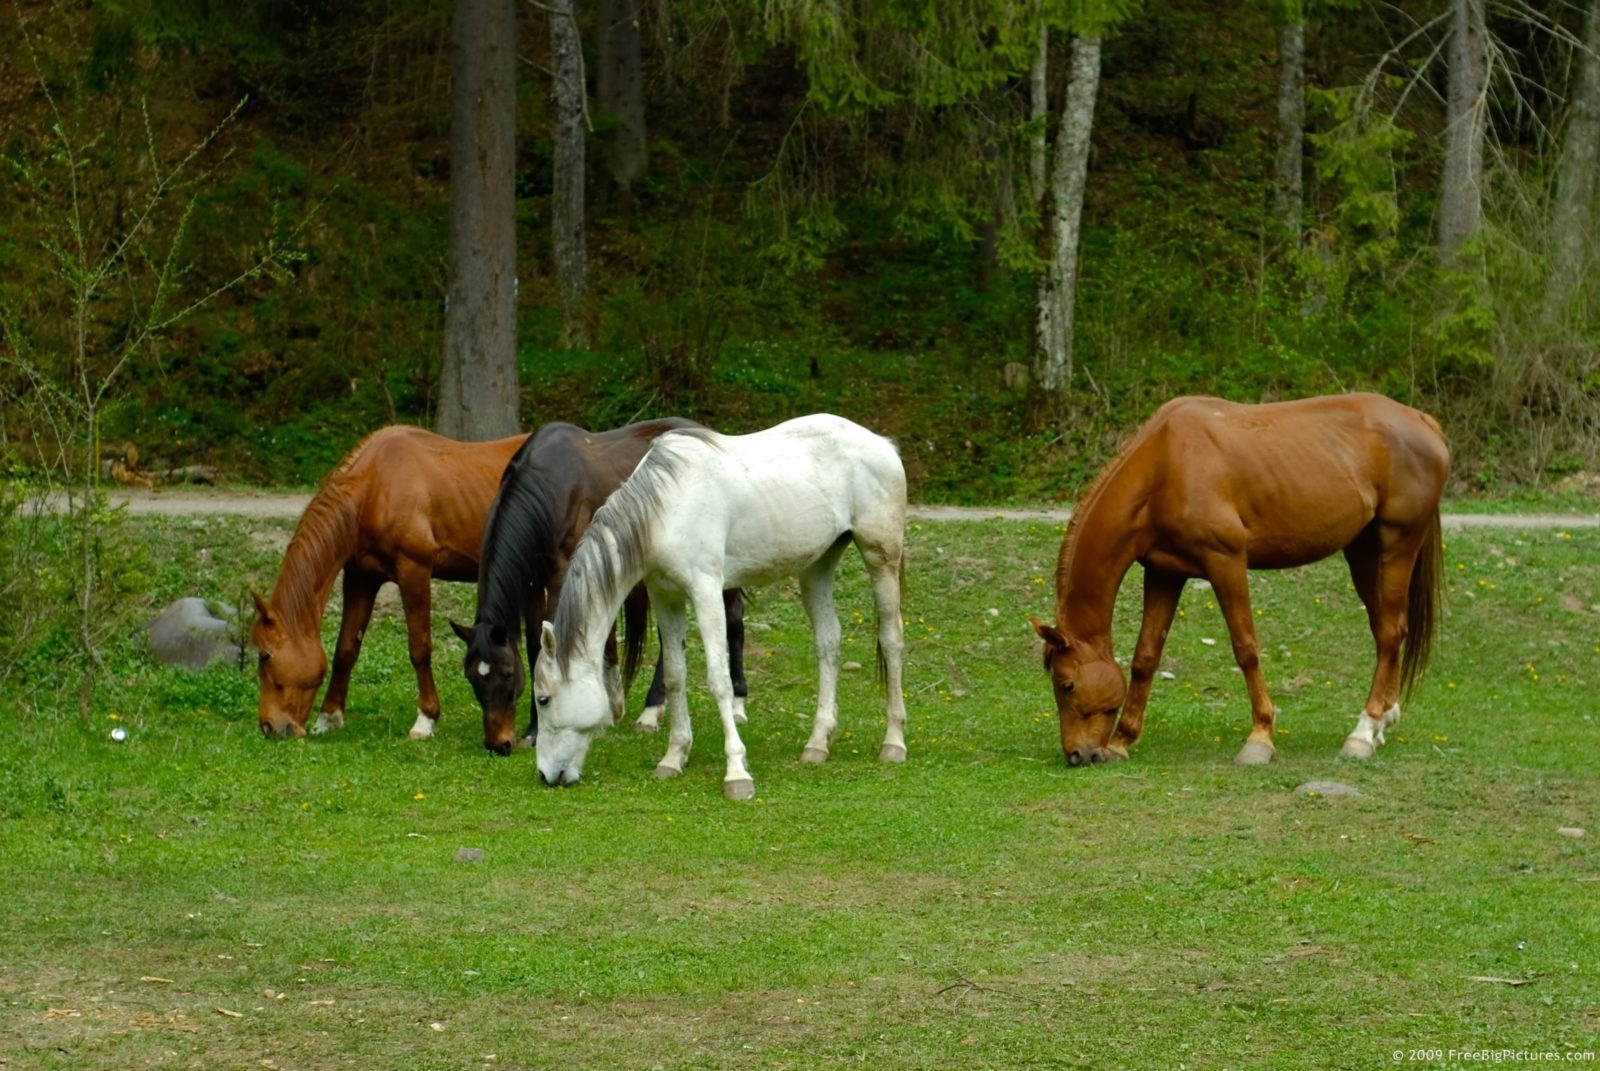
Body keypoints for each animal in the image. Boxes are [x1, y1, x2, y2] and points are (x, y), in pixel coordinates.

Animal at [252, 426, 525, 740]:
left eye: (265, 655)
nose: (269, 726)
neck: (375, 488)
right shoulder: (361, 577)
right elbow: (346, 649)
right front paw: (329, 717)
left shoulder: (414, 570)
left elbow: (420, 648)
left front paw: (426, 719)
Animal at [448, 419, 748, 755]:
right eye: (471, 677)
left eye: (507, 673)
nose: (497, 744)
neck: (550, 486)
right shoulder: (535, 582)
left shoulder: (562, 574)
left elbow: (545, 644)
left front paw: (539, 727)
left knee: (734, 618)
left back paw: (733, 703)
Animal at [532, 413, 909, 799]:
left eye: (543, 699)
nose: (545, 774)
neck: (665, 508)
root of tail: (881, 444)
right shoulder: (665, 596)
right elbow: (675, 675)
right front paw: (673, 758)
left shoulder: (706, 590)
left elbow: (719, 679)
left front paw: (736, 774)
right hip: (817, 566)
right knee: (828, 642)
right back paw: (817, 744)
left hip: (880, 557)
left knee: (891, 640)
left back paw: (893, 742)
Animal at [1030, 393, 1449, 767]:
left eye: (1066, 684)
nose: (1077, 755)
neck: (1164, 465)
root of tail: (1423, 422)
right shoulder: (1165, 572)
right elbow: (1145, 657)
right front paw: (1121, 741)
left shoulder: (1226, 562)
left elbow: (1245, 648)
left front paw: (1260, 738)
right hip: (1363, 553)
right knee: (1385, 631)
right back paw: (1382, 722)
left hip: (1397, 546)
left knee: (1391, 632)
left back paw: (1362, 732)